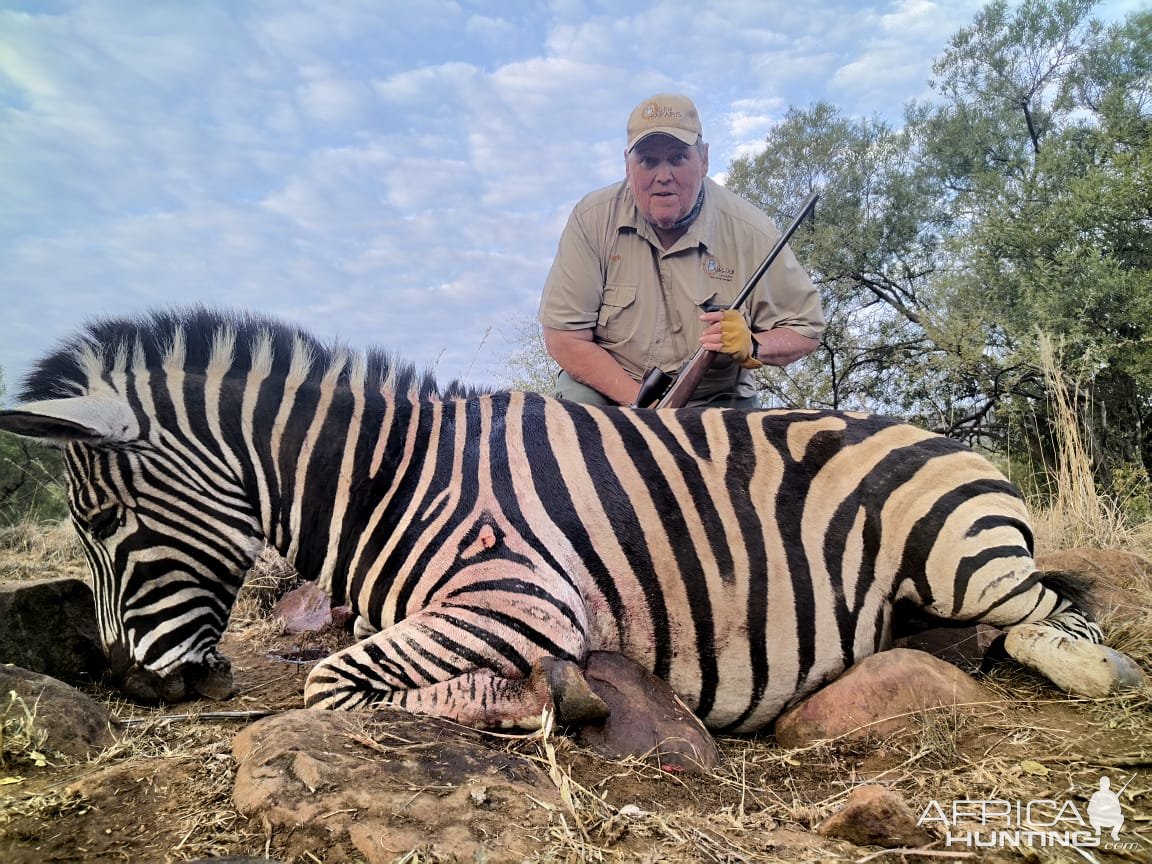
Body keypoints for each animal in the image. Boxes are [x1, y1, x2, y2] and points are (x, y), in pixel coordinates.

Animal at [2, 308, 1142, 732]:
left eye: (102, 519)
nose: (133, 682)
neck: (386, 480)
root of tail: (949, 437)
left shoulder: (518, 596)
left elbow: (334, 682)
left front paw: (535, 696)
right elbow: (346, 663)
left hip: (961, 554)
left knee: (1051, 616)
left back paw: (1101, 671)